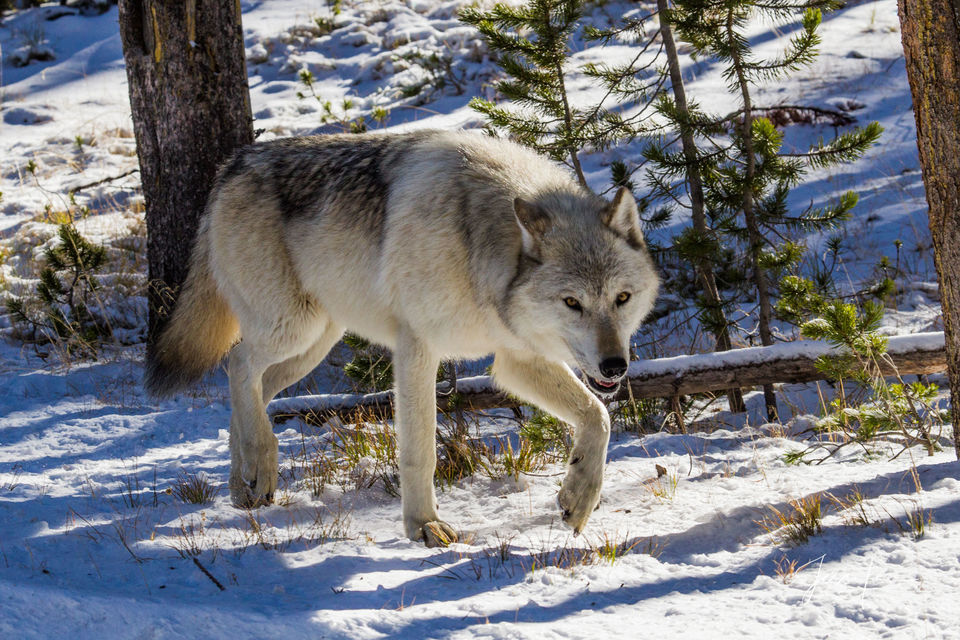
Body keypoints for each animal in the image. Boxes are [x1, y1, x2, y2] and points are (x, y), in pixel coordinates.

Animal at [146, 129, 660, 544]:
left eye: (622, 298)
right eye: (572, 303)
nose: (616, 366)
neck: (479, 248)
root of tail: (233, 163)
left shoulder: (515, 360)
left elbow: (598, 416)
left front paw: (579, 498)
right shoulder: (418, 347)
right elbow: (419, 452)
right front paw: (424, 527)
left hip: (312, 345)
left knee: (252, 390)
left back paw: (246, 484)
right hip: (290, 329)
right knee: (236, 366)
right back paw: (261, 462)